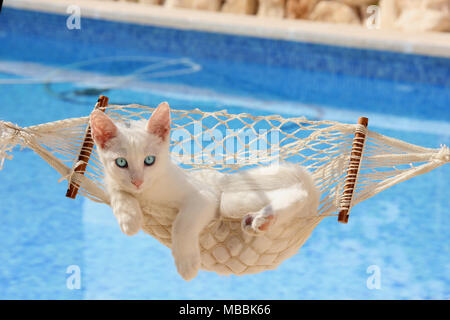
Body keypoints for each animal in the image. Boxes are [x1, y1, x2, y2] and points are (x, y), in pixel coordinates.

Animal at [89, 102, 318, 280]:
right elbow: (119, 192)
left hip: (229, 200)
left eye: (149, 160)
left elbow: (182, 224)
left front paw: (187, 263)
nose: (137, 181)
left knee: (298, 193)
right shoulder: (111, 182)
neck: (147, 194)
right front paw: (128, 217)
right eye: (121, 163)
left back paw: (265, 218)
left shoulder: (204, 197)